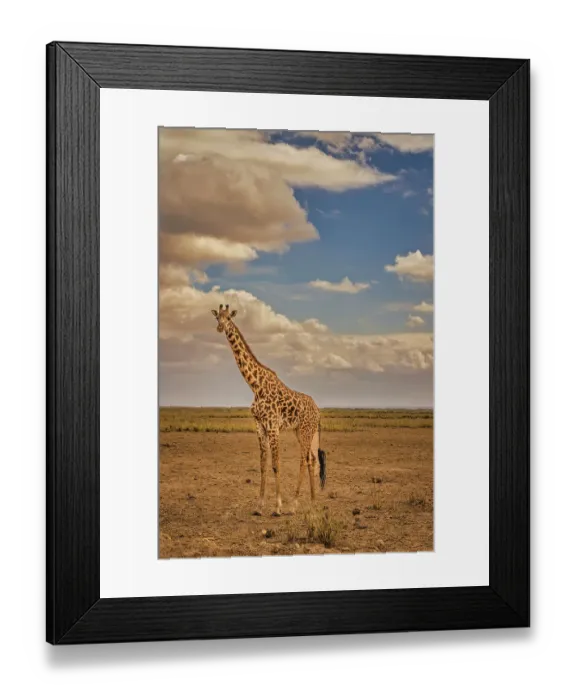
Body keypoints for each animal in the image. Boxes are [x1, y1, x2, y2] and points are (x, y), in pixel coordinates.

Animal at [211, 304, 327, 516]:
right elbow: (263, 465)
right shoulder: (260, 425)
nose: (220, 327)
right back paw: (313, 502)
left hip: (305, 430)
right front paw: (259, 506)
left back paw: (294, 504)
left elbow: (276, 464)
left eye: (229, 318)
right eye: (217, 318)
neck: (255, 386)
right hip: (302, 431)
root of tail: (318, 411)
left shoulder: (273, 426)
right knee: (312, 459)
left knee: (303, 460)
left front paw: (278, 507)